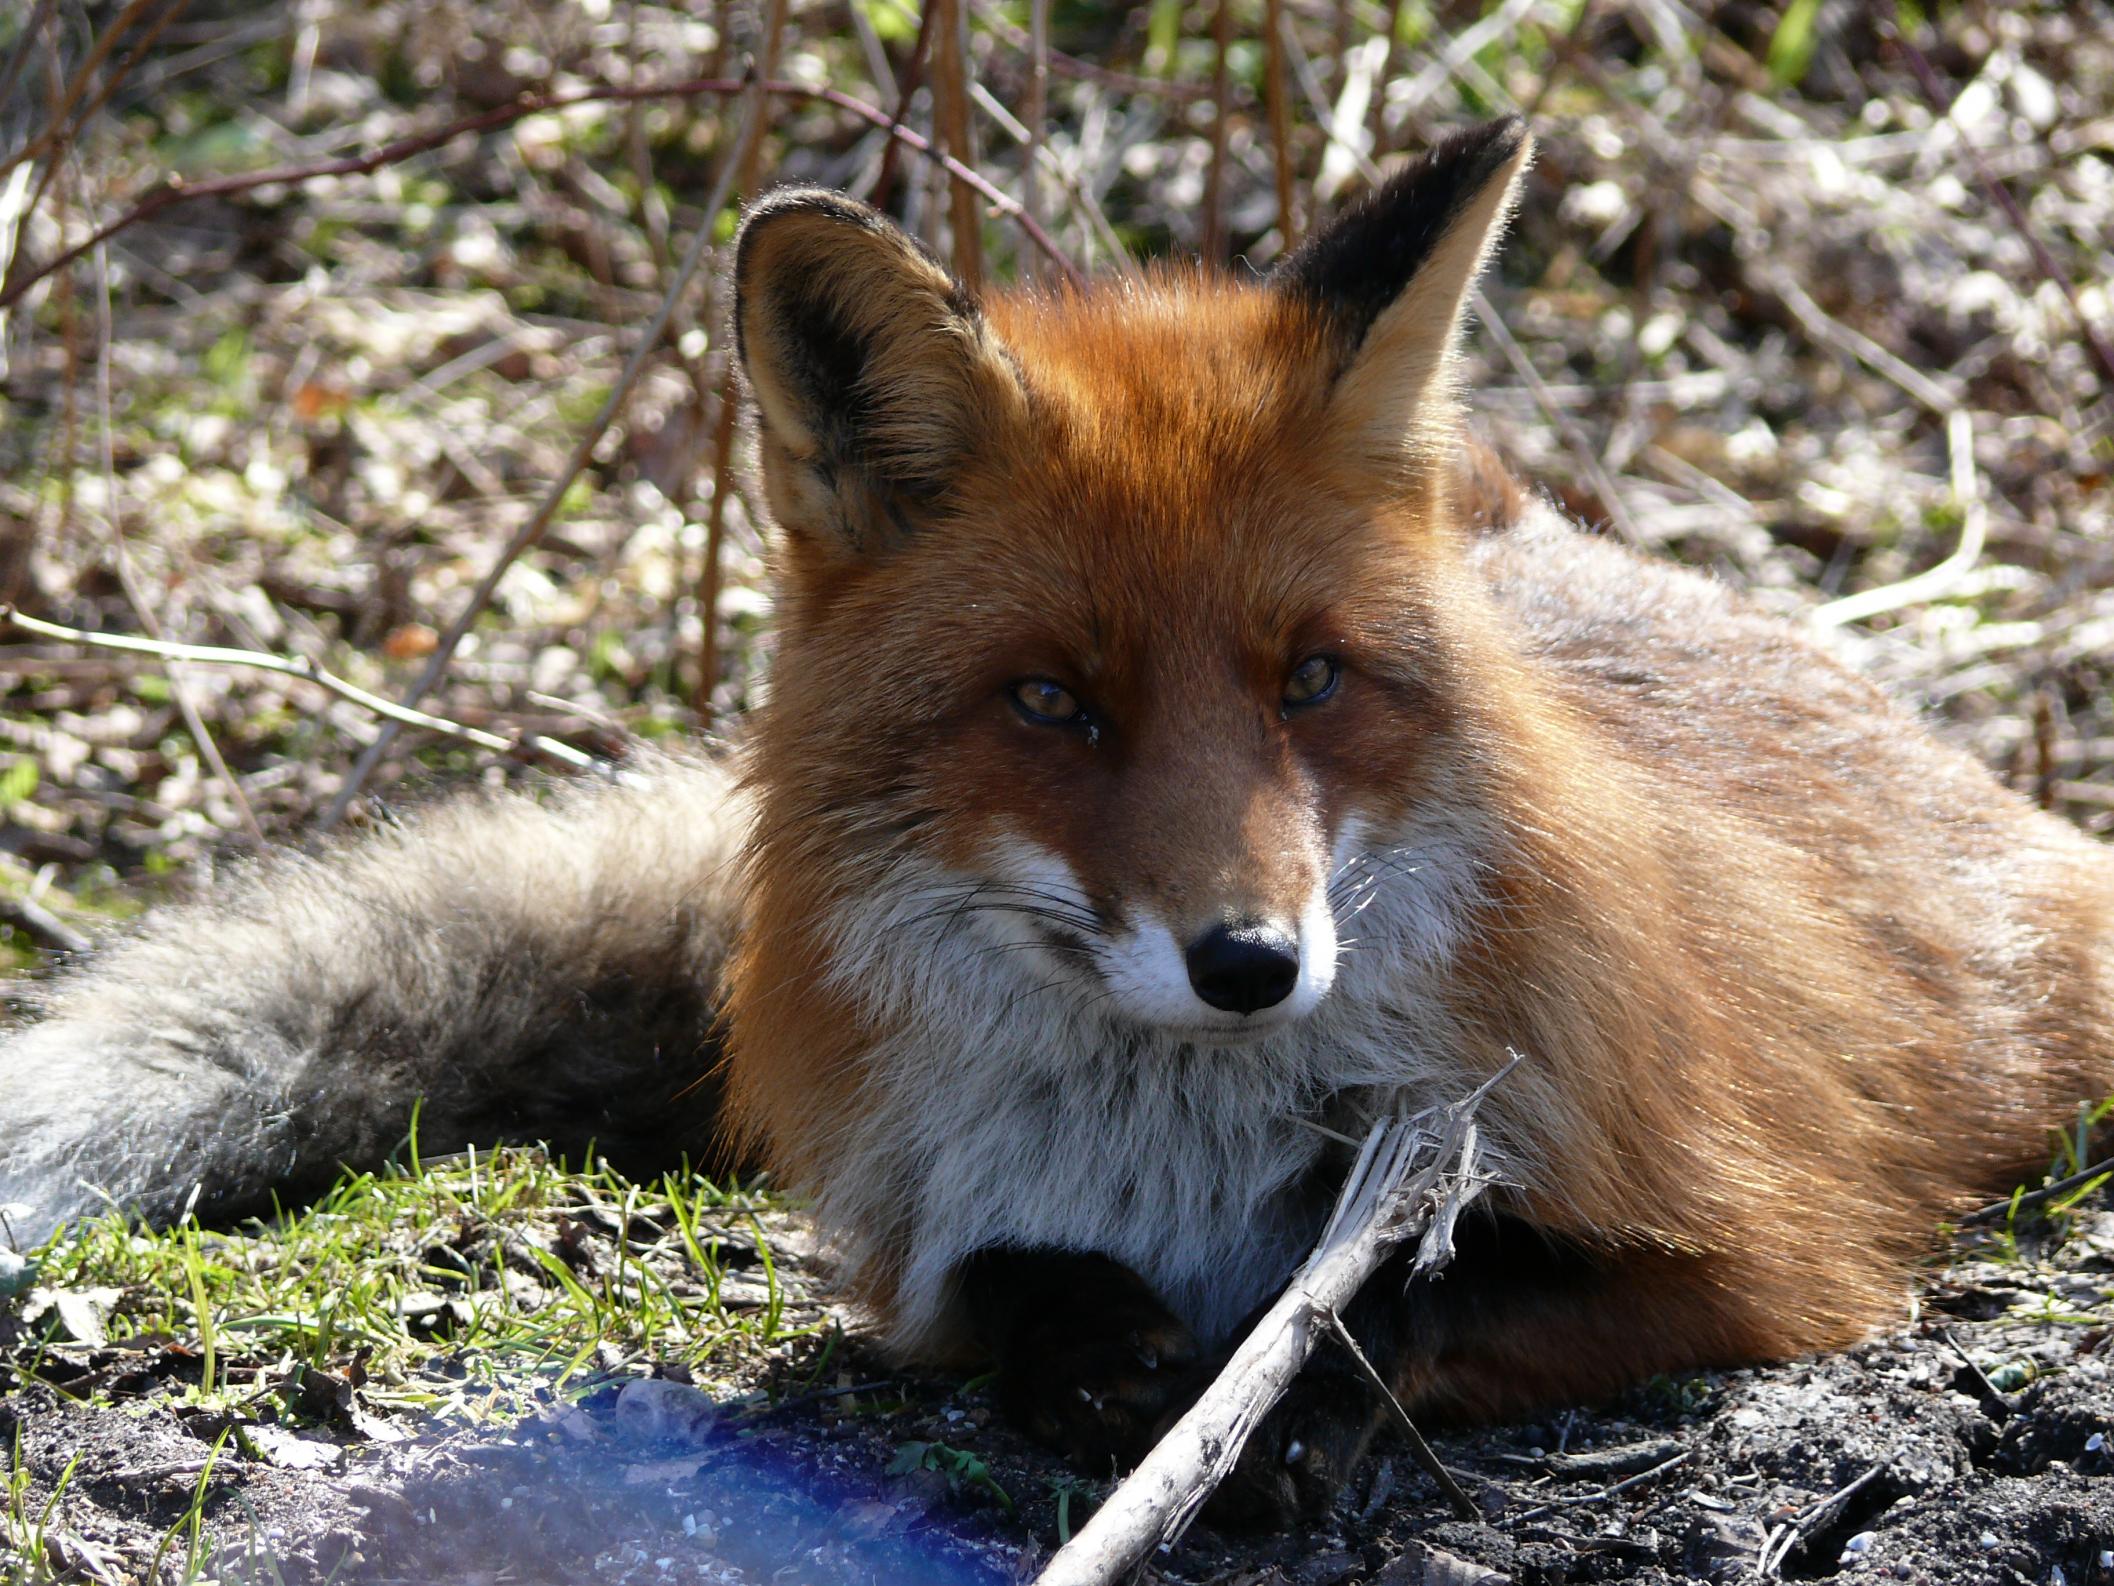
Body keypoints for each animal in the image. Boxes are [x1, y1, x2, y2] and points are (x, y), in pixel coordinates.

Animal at [4, 116, 2112, 1525]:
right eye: (1051, 704)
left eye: (1305, 681)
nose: (1249, 961)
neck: (1179, 1148)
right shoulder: (921, 1247)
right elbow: (1007, 1286)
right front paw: (1105, 1353)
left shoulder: (1756, 1251)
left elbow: (1413, 1300)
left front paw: (1275, 1409)